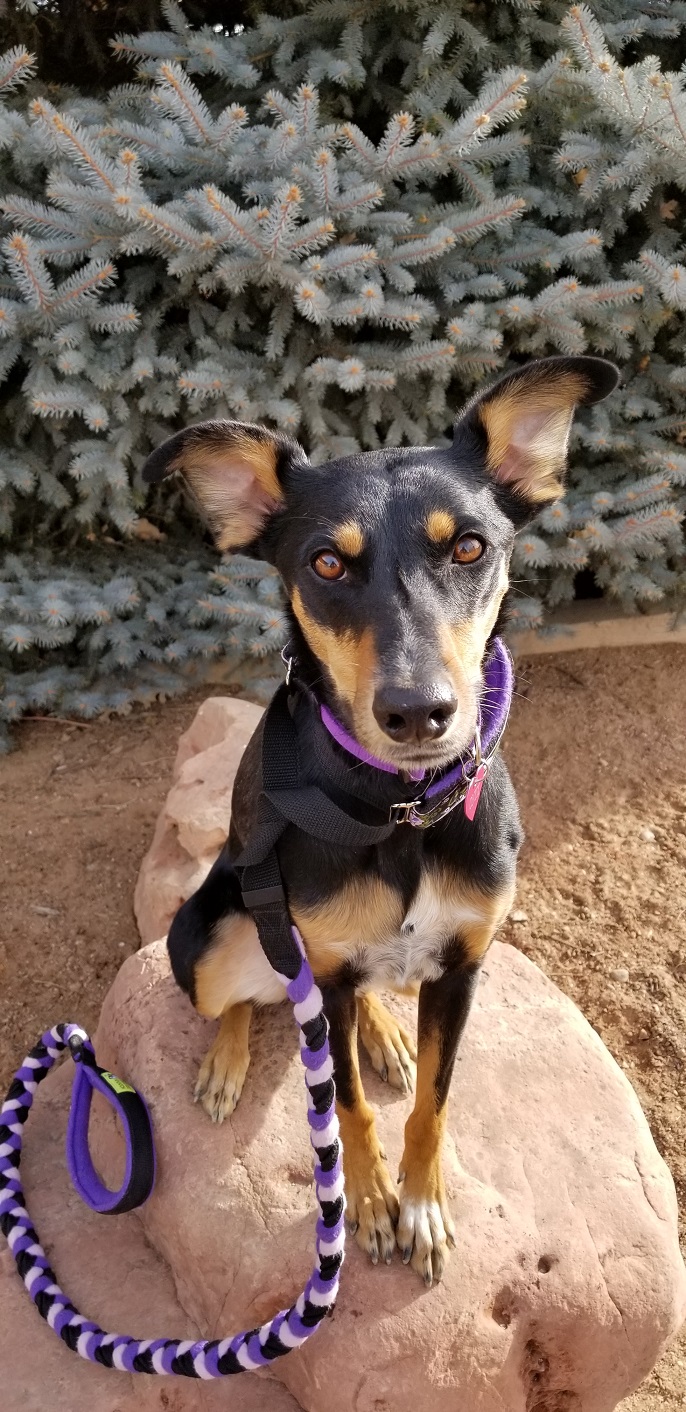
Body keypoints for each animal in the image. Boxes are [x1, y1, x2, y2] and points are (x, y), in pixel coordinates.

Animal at [141, 355, 618, 1293]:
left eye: (469, 546)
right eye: (326, 562)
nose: (417, 713)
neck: (401, 811)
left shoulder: (464, 966)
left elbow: (432, 1100)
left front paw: (422, 1203)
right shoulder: (321, 973)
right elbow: (348, 1109)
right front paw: (365, 1202)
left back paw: (388, 1033)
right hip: (211, 936)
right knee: (240, 997)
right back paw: (227, 1060)